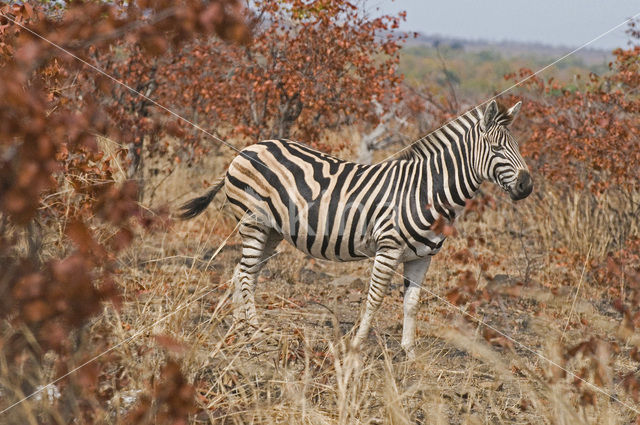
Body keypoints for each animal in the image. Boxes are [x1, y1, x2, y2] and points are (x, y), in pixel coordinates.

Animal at [181, 101, 536, 356]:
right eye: (496, 149)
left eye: (518, 146)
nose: (527, 186)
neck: (426, 190)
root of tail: (248, 149)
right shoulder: (388, 248)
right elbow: (375, 298)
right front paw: (357, 345)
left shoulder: (422, 256)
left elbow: (412, 303)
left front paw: (410, 353)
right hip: (253, 222)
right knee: (244, 275)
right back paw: (254, 333)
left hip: (271, 232)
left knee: (243, 273)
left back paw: (239, 330)